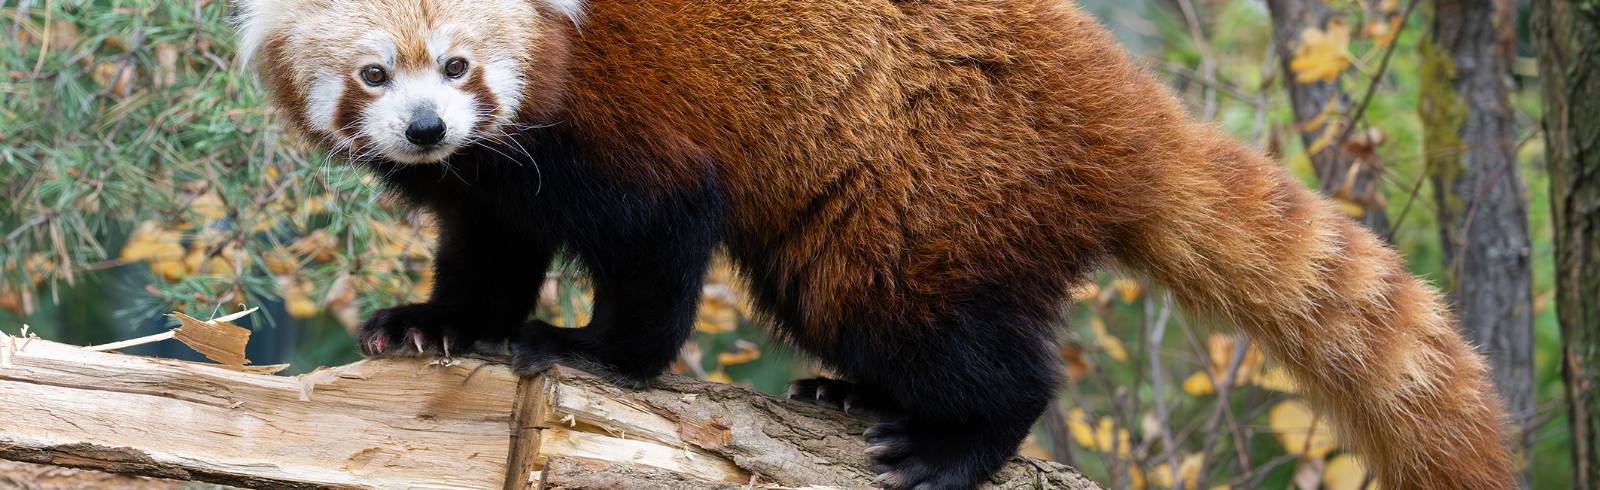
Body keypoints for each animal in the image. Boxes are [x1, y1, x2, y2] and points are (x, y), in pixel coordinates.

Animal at [233, 1, 1510, 486]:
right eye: (374, 74)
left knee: (942, 329)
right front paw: (439, 321)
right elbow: (489, 247)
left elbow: (661, 242)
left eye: (457, 63)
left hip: (923, 188)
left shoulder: (619, 123)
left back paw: (954, 440)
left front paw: (596, 356)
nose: (429, 127)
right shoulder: (494, 181)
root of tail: (1127, 118)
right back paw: (854, 395)